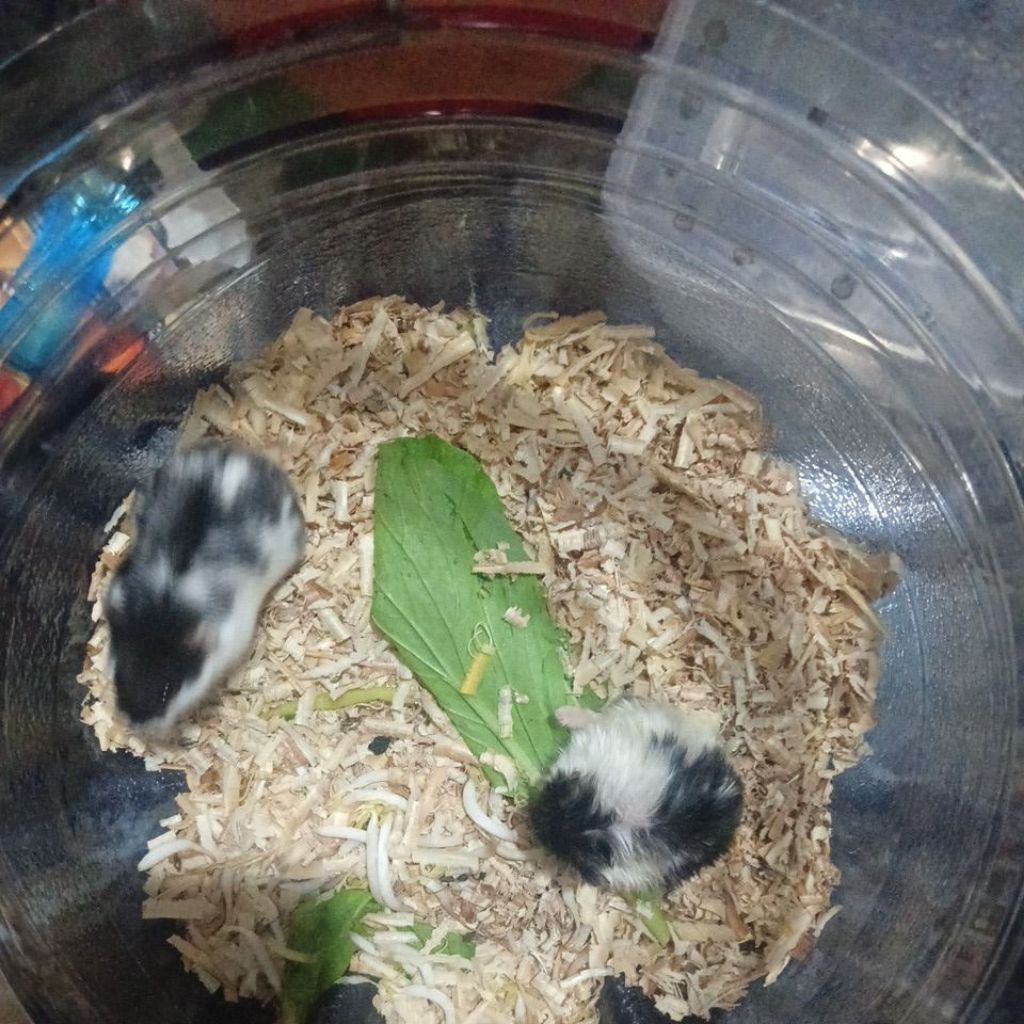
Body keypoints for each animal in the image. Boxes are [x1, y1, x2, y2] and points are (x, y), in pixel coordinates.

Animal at [528, 698, 742, 893]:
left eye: (556, 847)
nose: (531, 820)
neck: (607, 816)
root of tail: (737, 801)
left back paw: (561, 714)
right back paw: (561, 714)